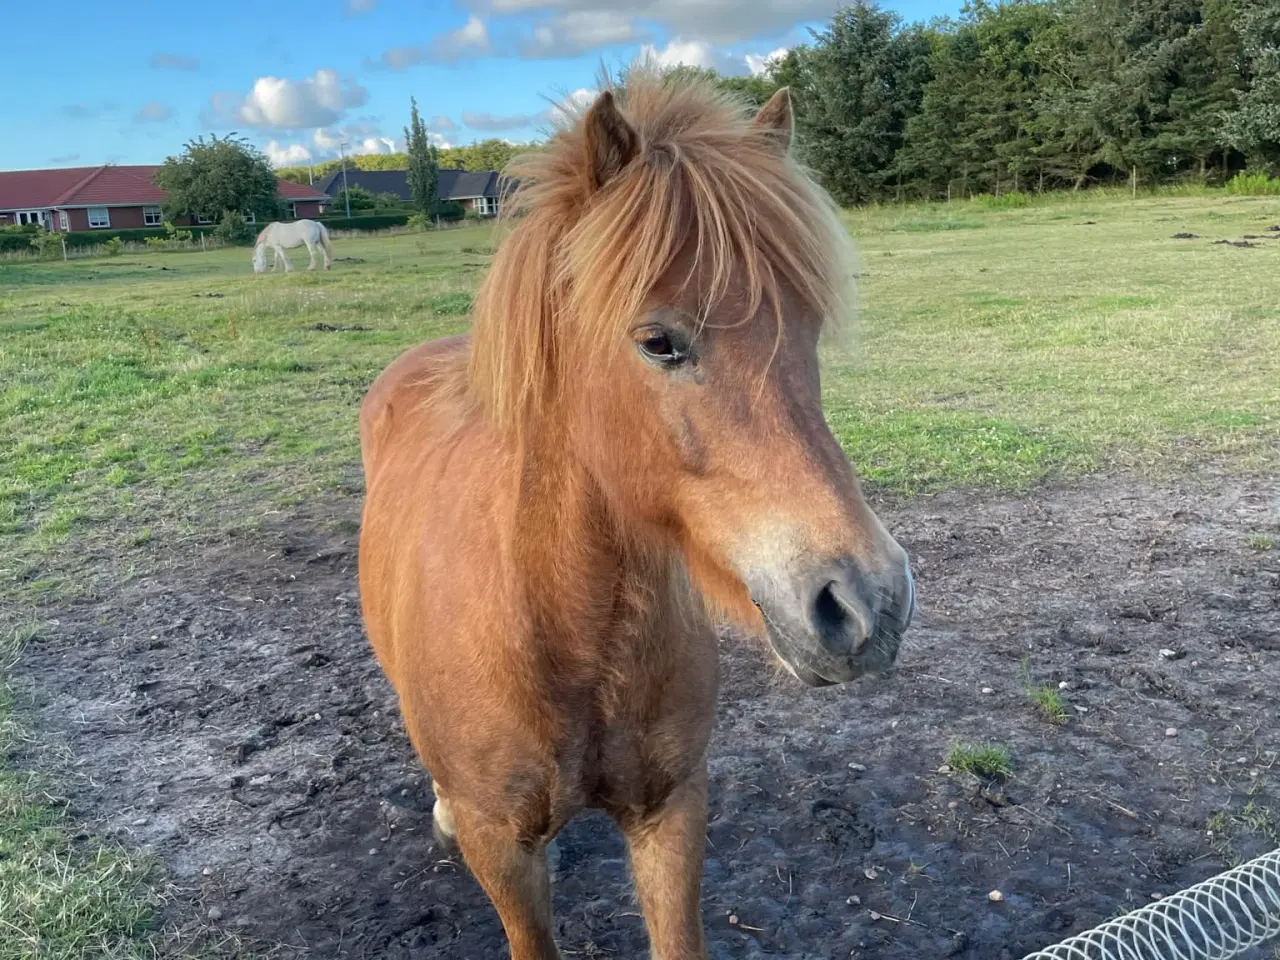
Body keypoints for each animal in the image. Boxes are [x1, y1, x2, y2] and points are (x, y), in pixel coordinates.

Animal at [355, 71, 916, 957]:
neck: (565, 633)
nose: (869, 605)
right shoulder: (503, 851)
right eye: (658, 341)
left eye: (810, 325)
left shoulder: (672, 811)